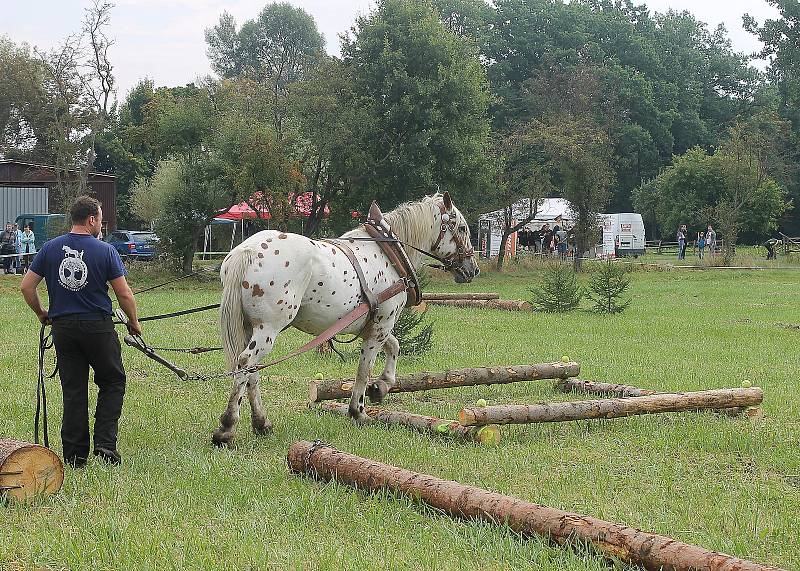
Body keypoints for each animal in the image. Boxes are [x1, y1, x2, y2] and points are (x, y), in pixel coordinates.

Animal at [209, 192, 478, 446]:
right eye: (462, 228)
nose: (473, 269)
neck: (389, 254)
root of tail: (248, 250)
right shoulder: (382, 323)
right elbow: (364, 368)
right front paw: (358, 410)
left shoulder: (374, 324)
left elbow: (394, 346)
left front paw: (381, 387)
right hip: (269, 328)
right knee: (246, 363)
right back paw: (227, 427)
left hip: (250, 327)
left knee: (251, 371)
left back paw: (261, 423)